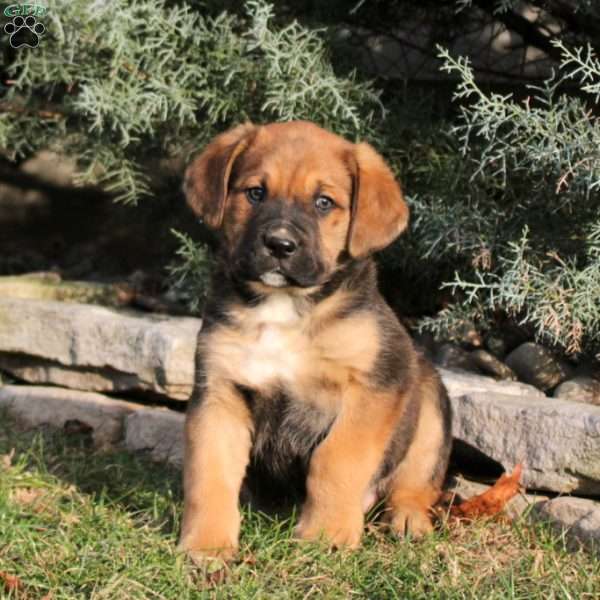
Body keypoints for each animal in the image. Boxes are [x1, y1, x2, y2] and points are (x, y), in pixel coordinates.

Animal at [177, 119, 450, 560]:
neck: (284, 305)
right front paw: (208, 543)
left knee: (415, 485)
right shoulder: (219, 392)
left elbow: (337, 460)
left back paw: (408, 520)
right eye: (255, 193)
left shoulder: (374, 387)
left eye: (324, 202)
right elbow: (209, 474)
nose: (279, 244)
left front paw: (327, 534)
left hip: (430, 406)